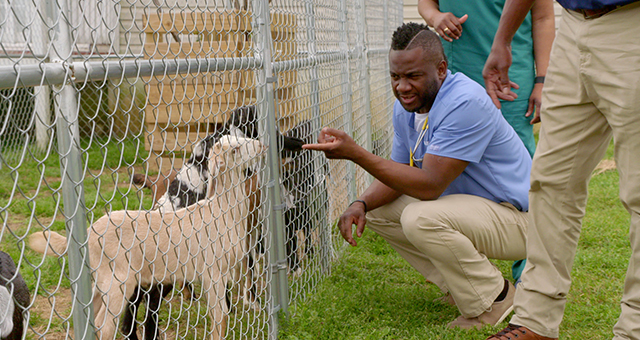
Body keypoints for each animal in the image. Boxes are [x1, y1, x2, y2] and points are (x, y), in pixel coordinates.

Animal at [28, 135, 264, 340]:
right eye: (235, 149)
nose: (261, 145)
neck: (220, 211)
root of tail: (88, 235)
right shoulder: (213, 272)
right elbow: (219, 317)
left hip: (101, 280)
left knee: (90, 317)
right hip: (118, 281)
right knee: (104, 324)